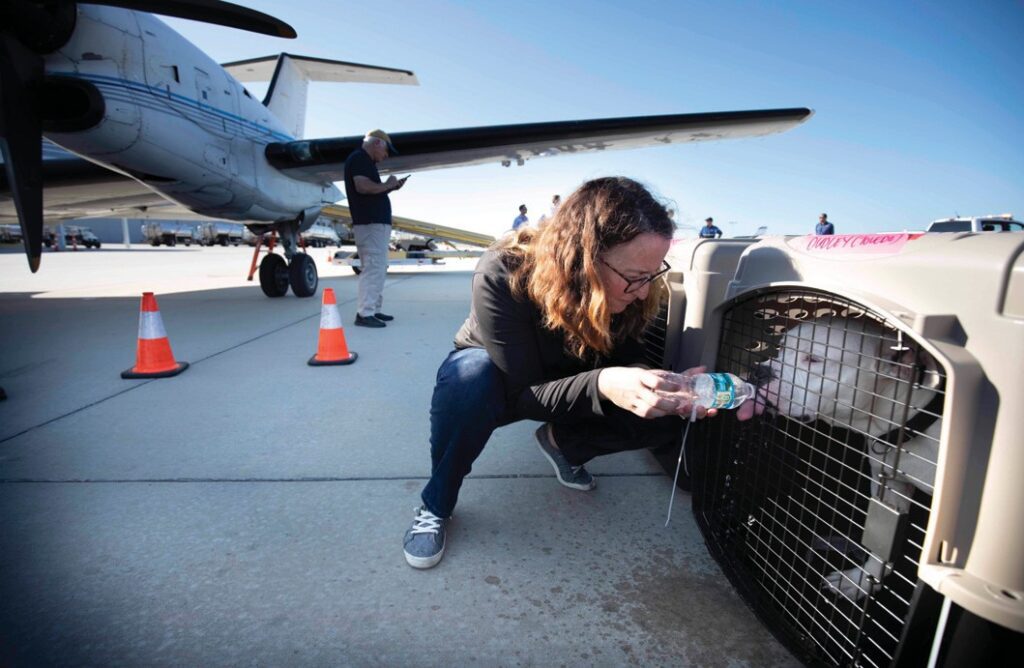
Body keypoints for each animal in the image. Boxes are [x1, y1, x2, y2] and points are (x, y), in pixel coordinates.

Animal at [741, 317, 937, 598]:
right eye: (782, 348)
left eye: (814, 359)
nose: (759, 371)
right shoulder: (891, 490)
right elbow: (881, 547)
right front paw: (859, 582)